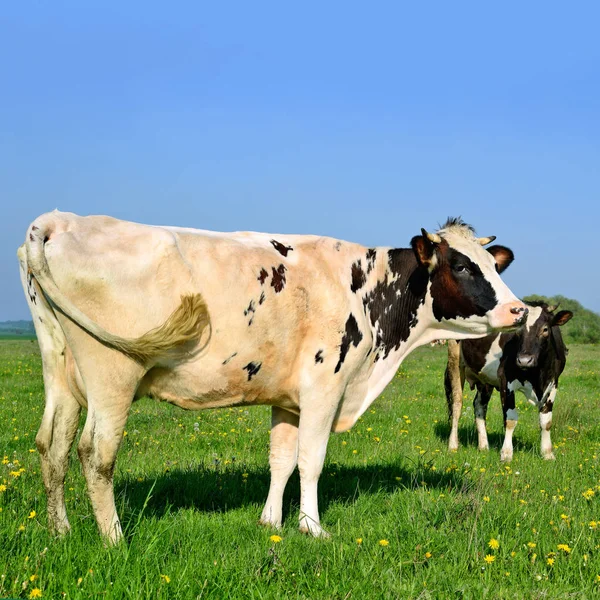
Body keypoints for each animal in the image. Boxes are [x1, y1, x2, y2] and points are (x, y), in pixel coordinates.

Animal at [18, 213, 524, 540]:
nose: (518, 310)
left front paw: (271, 522)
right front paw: (312, 527)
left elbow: (281, 460)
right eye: (461, 265)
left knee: (52, 446)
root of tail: (60, 219)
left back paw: (60, 531)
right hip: (112, 374)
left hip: (60, 370)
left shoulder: (288, 397)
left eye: (493, 264)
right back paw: (114, 539)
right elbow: (311, 460)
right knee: (94, 453)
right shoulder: (324, 387)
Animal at [446, 302, 572, 462]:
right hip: (455, 360)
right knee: (457, 404)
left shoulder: (553, 383)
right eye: (517, 330)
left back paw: (483, 446)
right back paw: (453, 445)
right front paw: (506, 454)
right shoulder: (506, 381)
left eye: (545, 329)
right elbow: (510, 419)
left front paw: (547, 453)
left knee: (479, 405)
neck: (537, 375)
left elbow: (546, 421)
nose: (524, 360)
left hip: (484, 378)